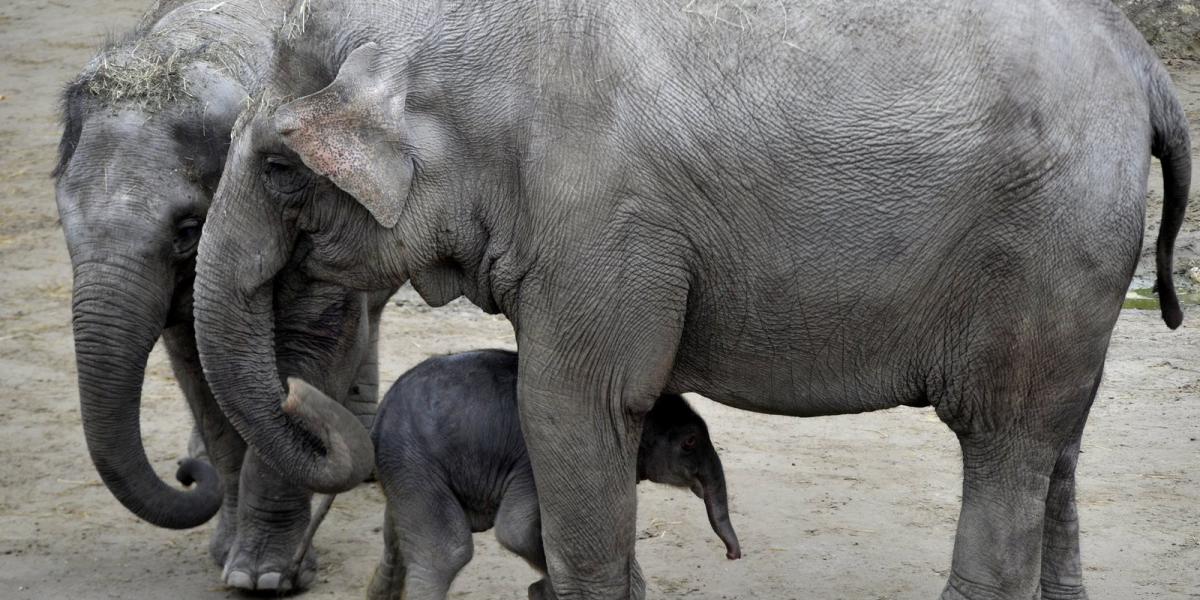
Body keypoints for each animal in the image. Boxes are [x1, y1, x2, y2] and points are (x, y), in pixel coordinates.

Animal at [54, 0, 386, 590]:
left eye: (187, 230)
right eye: (62, 225)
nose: (188, 475)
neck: (202, 49)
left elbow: (313, 346)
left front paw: (265, 578)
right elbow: (199, 369)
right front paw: (225, 554)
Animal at [292, 350, 739, 597]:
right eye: (689, 442)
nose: (733, 555)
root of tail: (378, 419)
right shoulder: (532, 460)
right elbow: (517, 531)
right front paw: (544, 590)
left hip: (406, 469)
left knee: (396, 542)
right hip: (414, 460)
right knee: (446, 552)